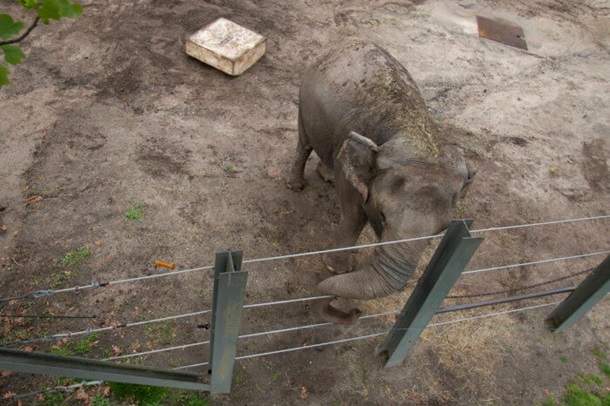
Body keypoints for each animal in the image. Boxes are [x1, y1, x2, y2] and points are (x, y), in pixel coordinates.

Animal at [288, 38, 472, 324]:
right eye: (383, 217)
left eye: (441, 230)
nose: (355, 312)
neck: (413, 128)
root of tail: (346, 41)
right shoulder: (352, 173)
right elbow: (354, 215)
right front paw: (338, 269)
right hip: (304, 99)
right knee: (304, 142)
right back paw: (296, 186)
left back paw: (326, 177)